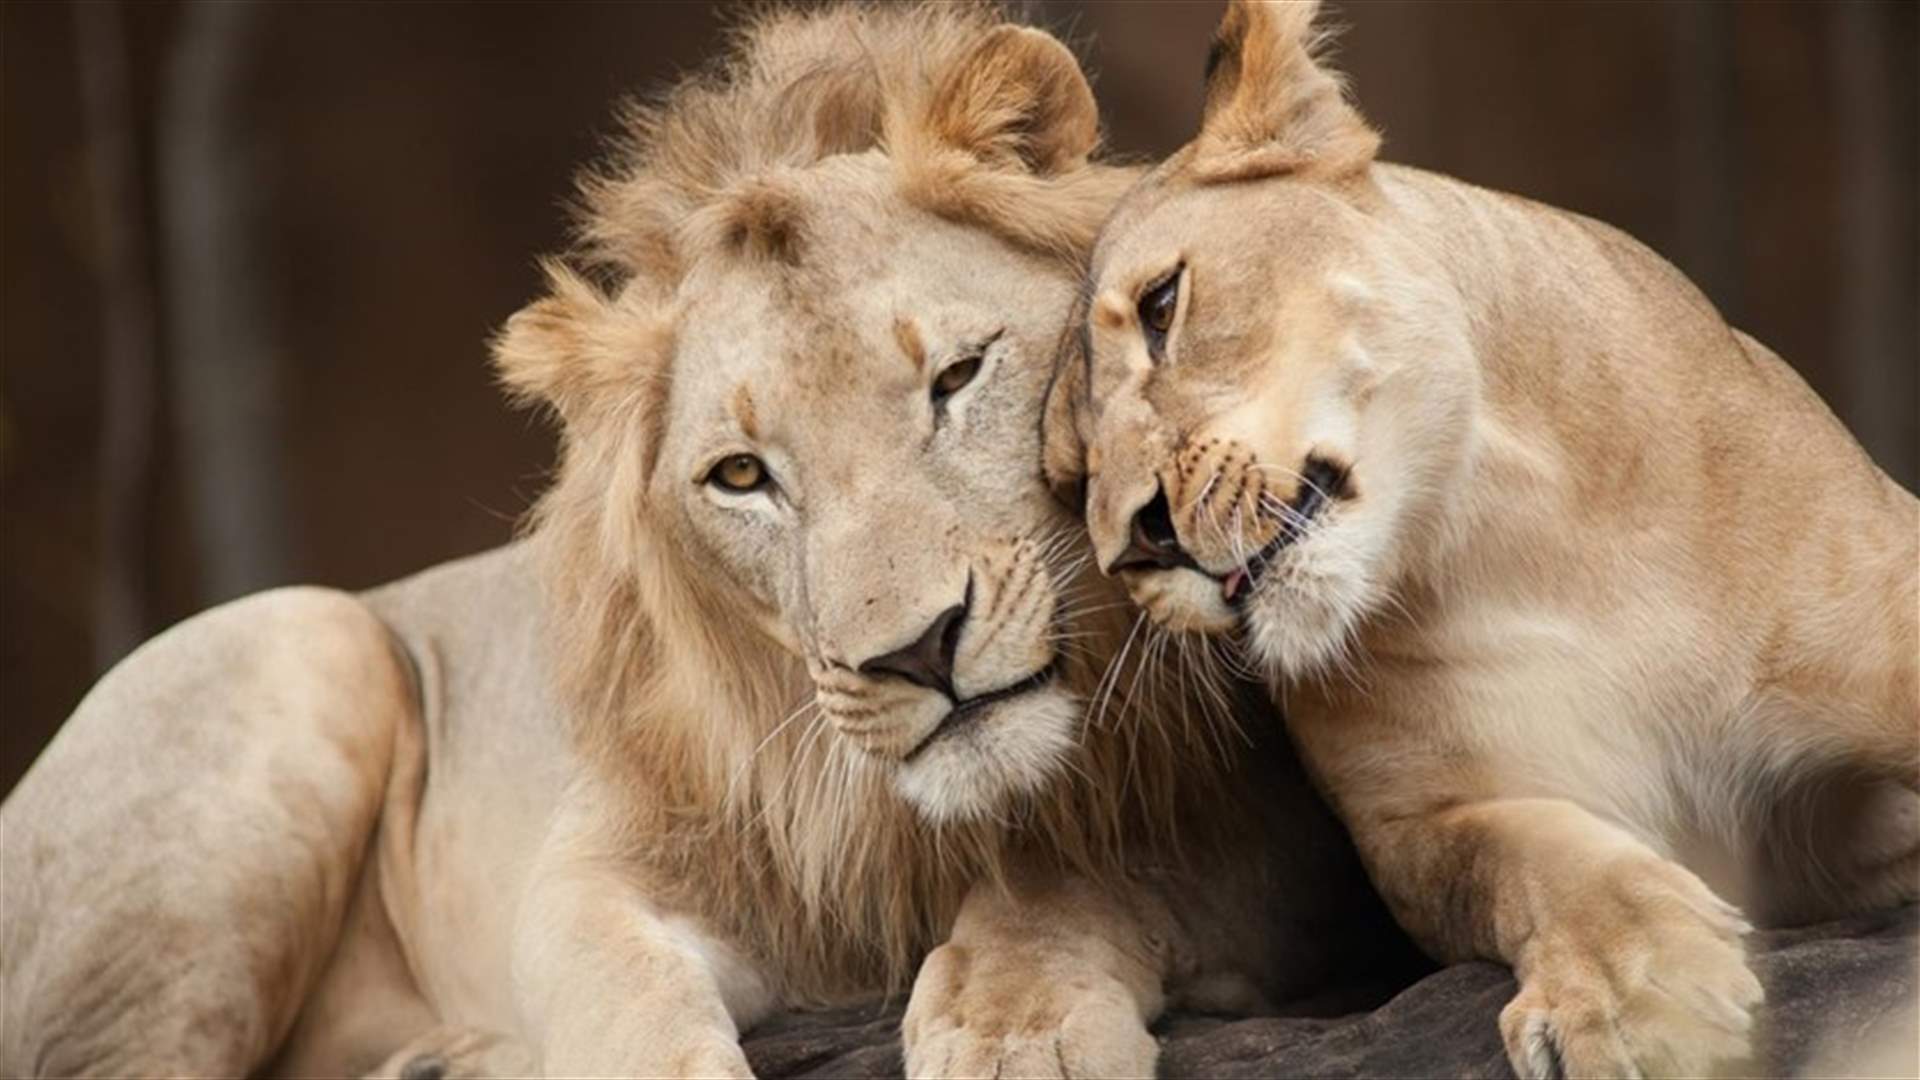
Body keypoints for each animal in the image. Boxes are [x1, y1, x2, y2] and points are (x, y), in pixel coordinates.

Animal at [0, 5, 1397, 1077]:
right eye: (741, 476)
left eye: (956, 377)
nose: (917, 655)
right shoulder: (604, 865)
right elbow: (618, 1000)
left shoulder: (1283, 841)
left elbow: (1093, 876)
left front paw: (1018, 1023)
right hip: (301, 647)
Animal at [1044, 2, 1920, 1077]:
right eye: (1070, 481)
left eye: (1163, 306)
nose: (1139, 543)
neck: (1504, 538)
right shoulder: (1423, 826)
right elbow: (1532, 855)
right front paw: (1633, 994)